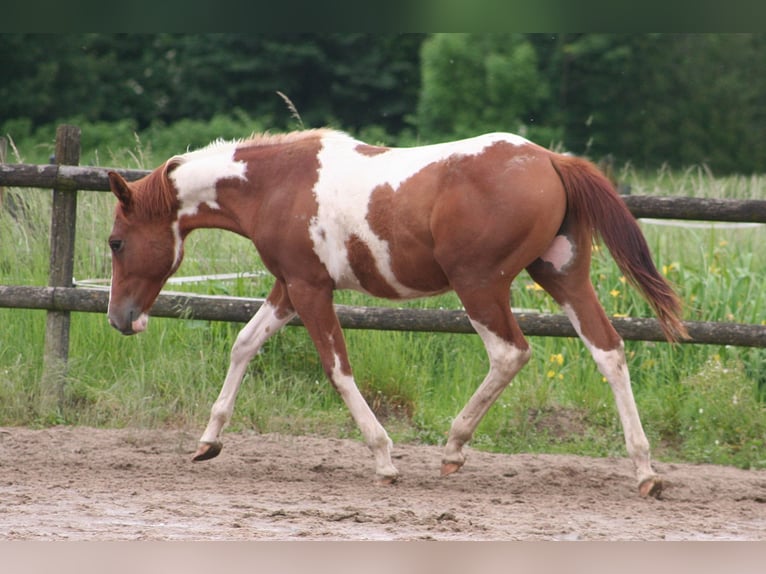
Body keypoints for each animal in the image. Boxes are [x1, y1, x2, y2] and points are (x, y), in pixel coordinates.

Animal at [108, 128, 688, 498]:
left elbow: (337, 370)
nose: (120, 319)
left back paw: (453, 448)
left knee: (510, 353)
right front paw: (208, 442)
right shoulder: (289, 287)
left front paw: (384, 459)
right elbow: (244, 343)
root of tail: (550, 160)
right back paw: (644, 471)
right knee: (608, 350)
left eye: (116, 242)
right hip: (562, 275)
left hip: (480, 285)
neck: (276, 185)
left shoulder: (310, 290)